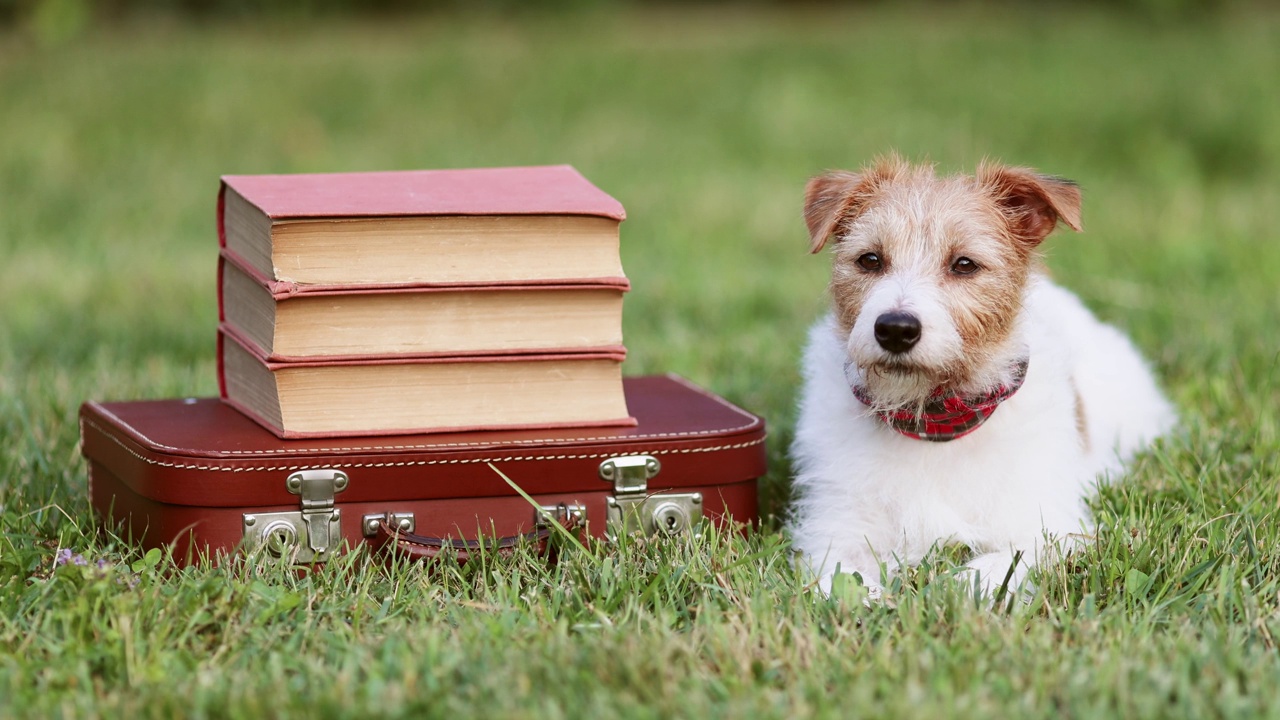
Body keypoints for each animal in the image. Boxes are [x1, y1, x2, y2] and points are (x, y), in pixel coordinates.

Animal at [788, 154, 1177, 597]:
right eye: (870, 259)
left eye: (964, 265)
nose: (895, 330)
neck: (932, 422)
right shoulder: (837, 527)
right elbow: (842, 577)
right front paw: (870, 600)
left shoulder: (1047, 528)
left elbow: (997, 565)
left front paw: (954, 591)